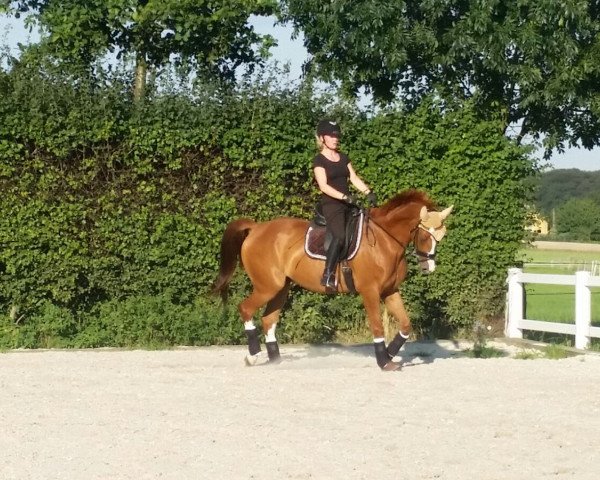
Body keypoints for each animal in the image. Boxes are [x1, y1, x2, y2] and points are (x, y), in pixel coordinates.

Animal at [213, 189, 452, 370]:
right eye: (424, 235)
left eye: (442, 237)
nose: (428, 267)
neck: (385, 239)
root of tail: (256, 228)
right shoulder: (370, 291)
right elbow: (377, 327)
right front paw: (383, 361)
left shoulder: (390, 291)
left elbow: (405, 325)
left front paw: (391, 355)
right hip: (267, 286)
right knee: (246, 309)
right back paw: (252, 356)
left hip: (280, 288)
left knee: (268, 319)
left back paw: (275, 360)